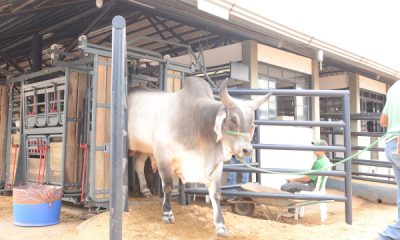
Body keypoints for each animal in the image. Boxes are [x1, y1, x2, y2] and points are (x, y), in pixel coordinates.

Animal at [128, 77, 272, 236]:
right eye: (233, 119)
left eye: (251, 122)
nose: (247, 150)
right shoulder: (164, 157)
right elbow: (168, 187)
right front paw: (167, 214)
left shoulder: (216, 165)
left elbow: (216, 193)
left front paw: (220, 225)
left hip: (143, 148)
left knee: (138, 164)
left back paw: (145, 190)